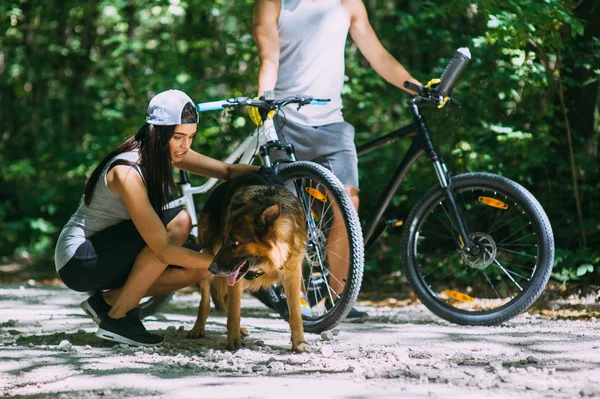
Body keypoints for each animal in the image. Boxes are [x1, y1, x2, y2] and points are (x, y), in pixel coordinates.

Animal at [186, 173, 310, 354]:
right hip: (208, 257)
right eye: (225, 239)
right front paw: (233, 339)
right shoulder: (235, 278)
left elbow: (295, 313)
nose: (212, 268)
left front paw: (299, 342)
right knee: (206, 300)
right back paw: (198, 328)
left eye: (235, 243)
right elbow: (234, 311)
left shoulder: (292, 274)